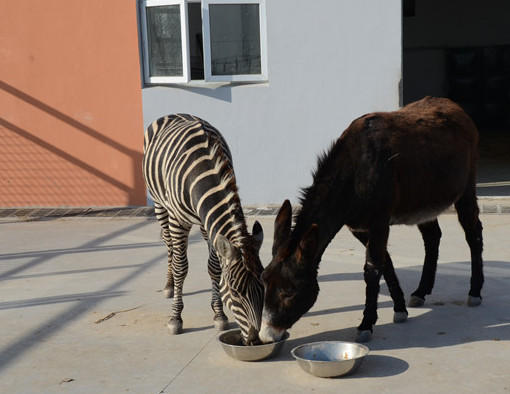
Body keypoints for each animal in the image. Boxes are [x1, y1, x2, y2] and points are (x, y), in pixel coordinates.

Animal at [142, 113, 264, 344]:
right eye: (235, 293)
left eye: (264, 287)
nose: (256, 341)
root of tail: (176, 113)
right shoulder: (178, 220)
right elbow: (181, 268)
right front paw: (176, 319)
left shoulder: (208, 224)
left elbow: (214, 267)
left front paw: (219, 314)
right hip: (159, 203)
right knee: (169, 244)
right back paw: (169, 285)